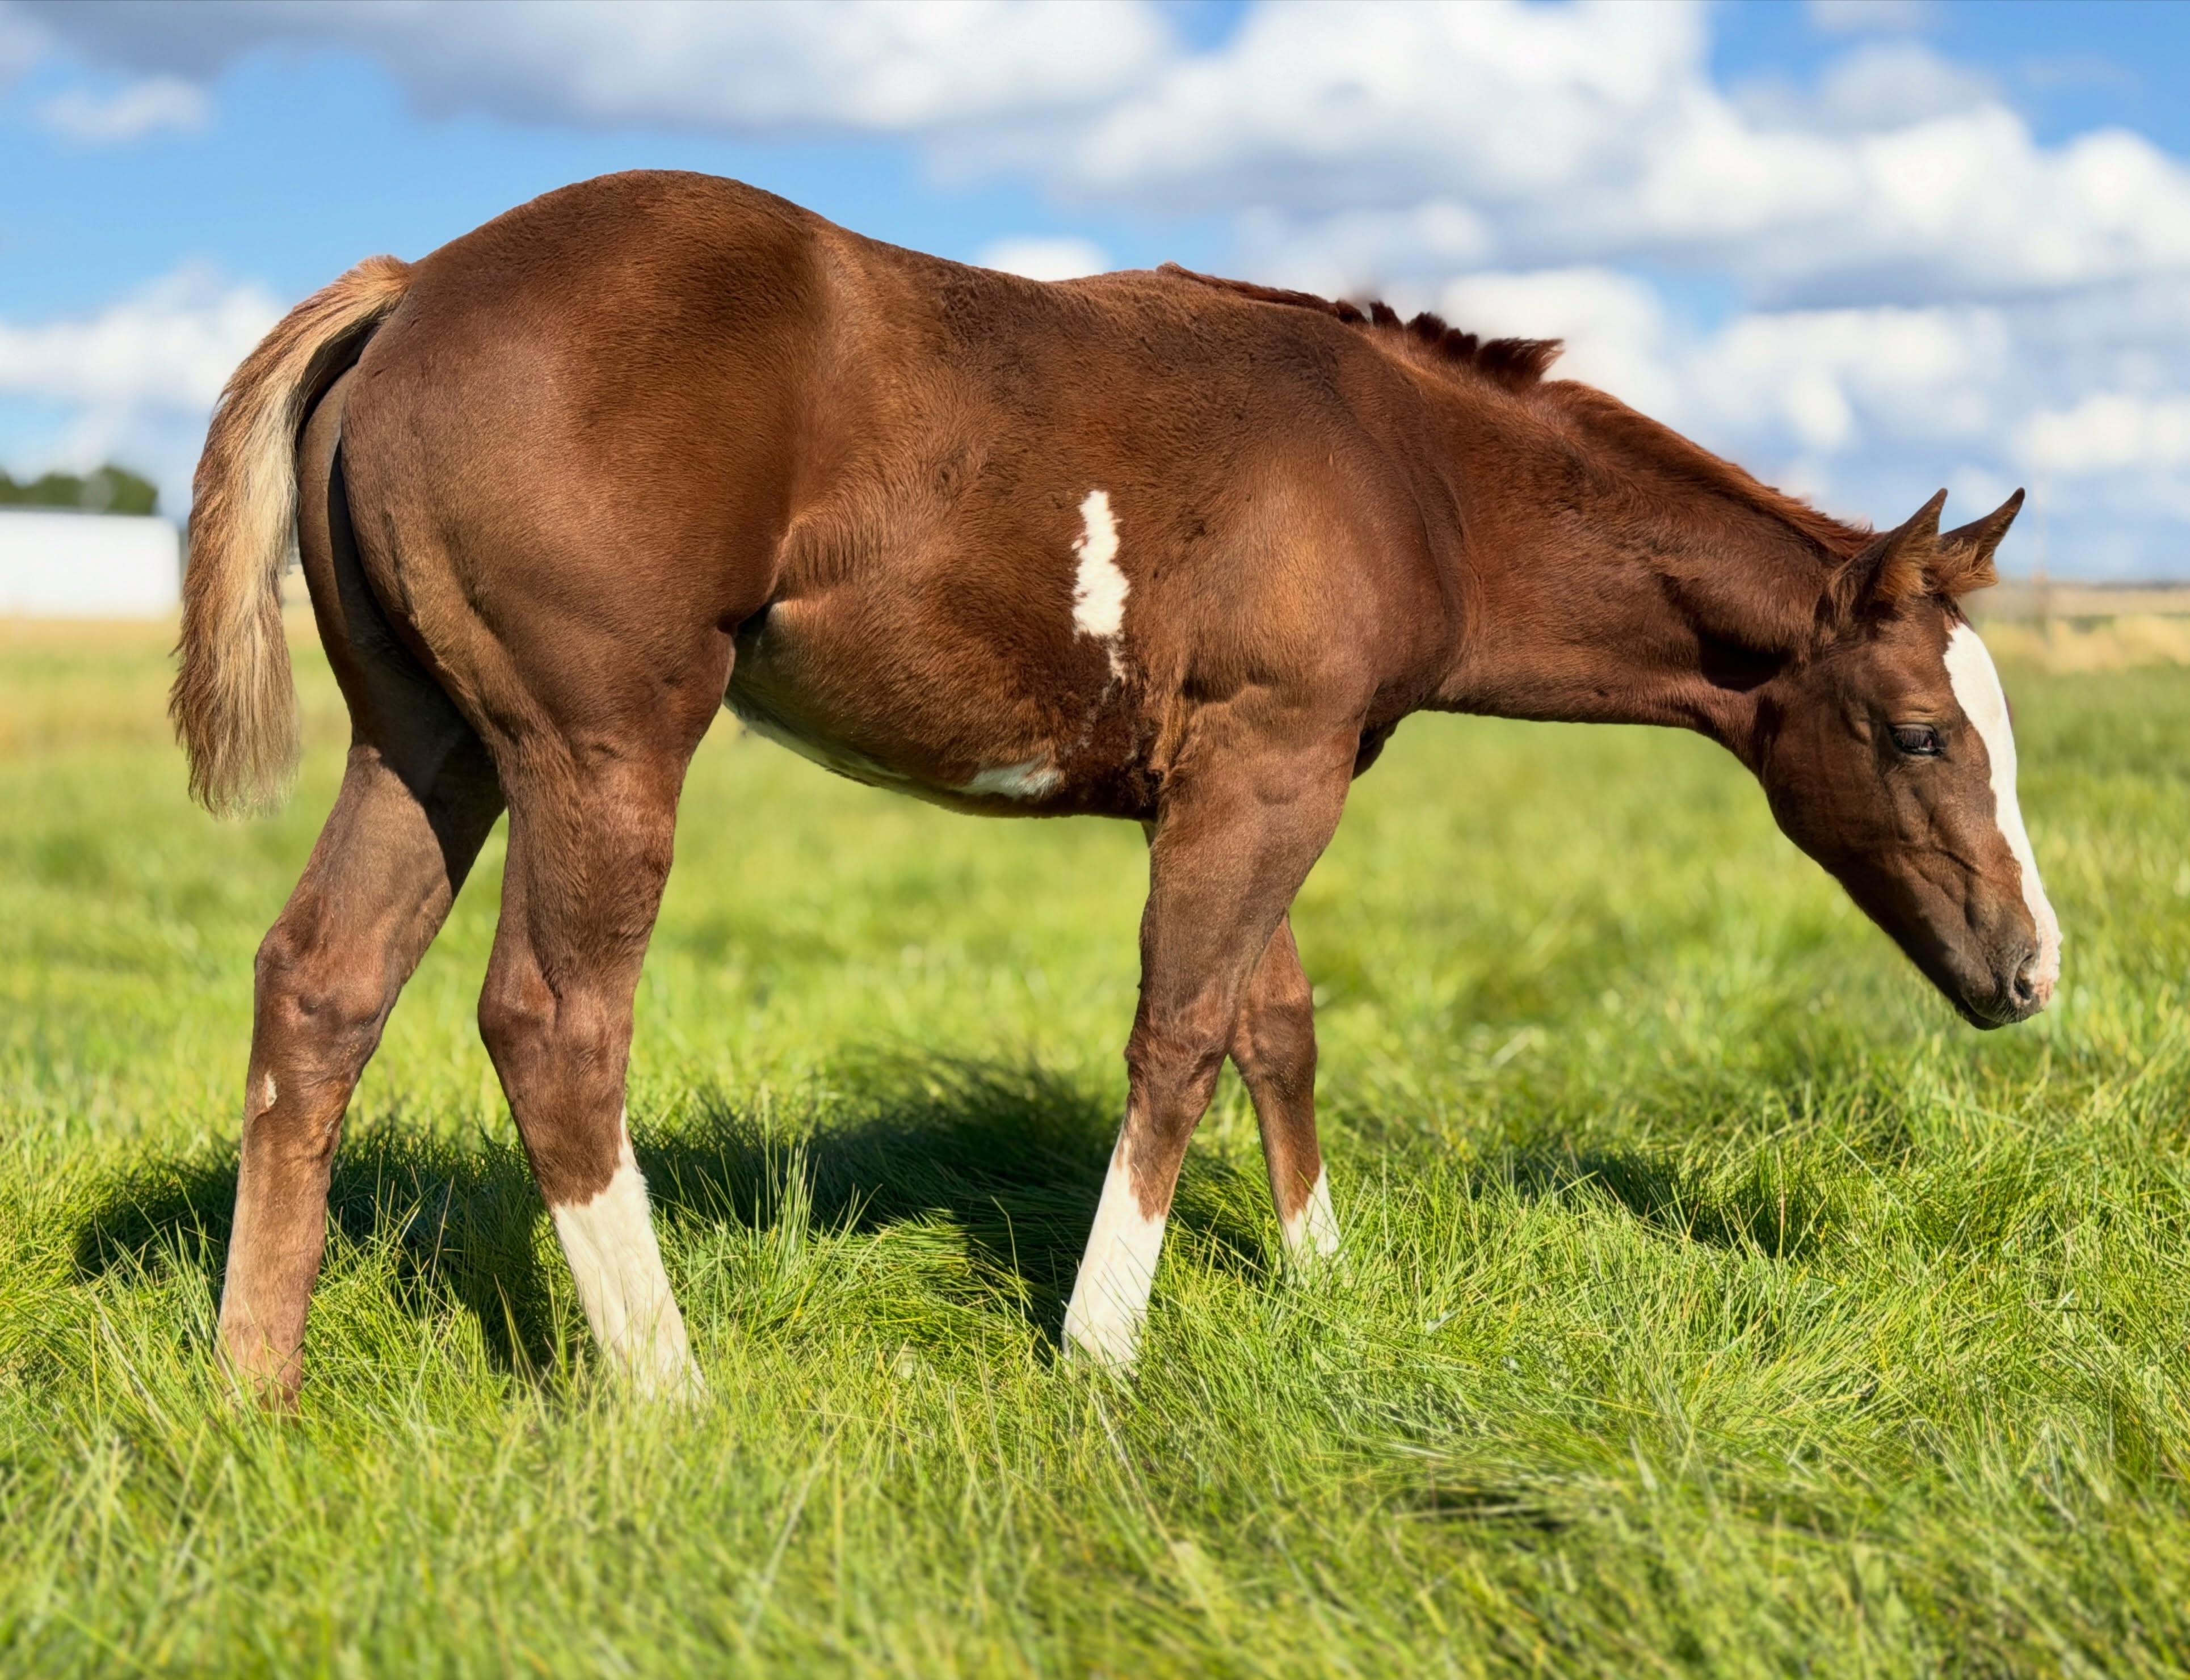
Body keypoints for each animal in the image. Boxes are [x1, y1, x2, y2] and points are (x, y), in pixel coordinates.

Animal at [172, 171, 2057, 1404]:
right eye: (1919, 734)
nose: (2028, 970)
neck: (1410, 472)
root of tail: (414, 281)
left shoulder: (1266, 772)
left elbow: (1270, 1024)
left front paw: (1318, 1282)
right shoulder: (1267, 768)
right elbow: (1178, 1037)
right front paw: (1100, 1346)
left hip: (425, 743)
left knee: (318, 986)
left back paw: (254, 1383)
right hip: (599, 745)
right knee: (554, 1023)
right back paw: (670, 1394)